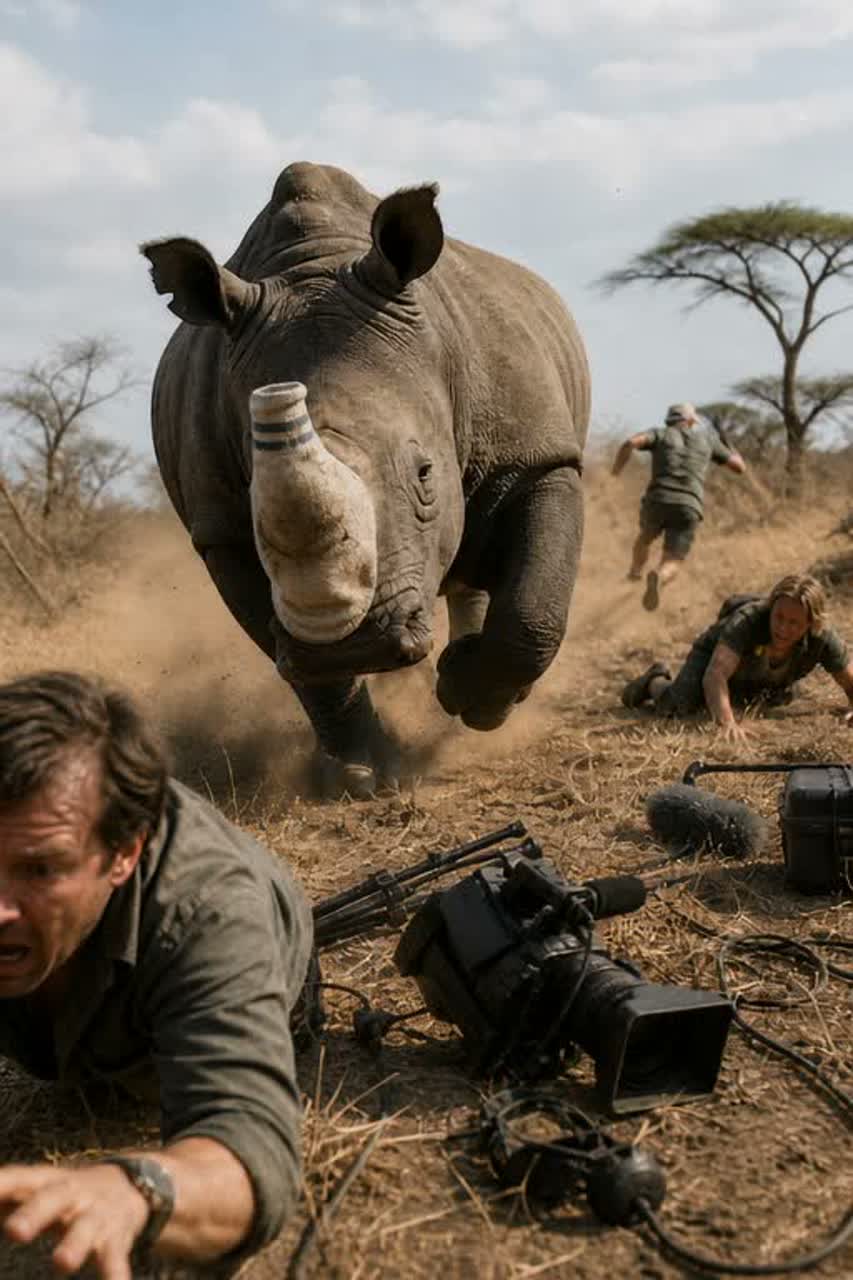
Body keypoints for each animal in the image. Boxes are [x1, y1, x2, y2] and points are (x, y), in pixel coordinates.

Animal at [142, 161, 589, 797]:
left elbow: (536, 610)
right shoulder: (220, 530)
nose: (349, 645)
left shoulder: (540, 457)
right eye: (255, 500)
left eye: (425, 475)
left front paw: (474, 699)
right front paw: (364, 773)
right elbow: (291, 659)